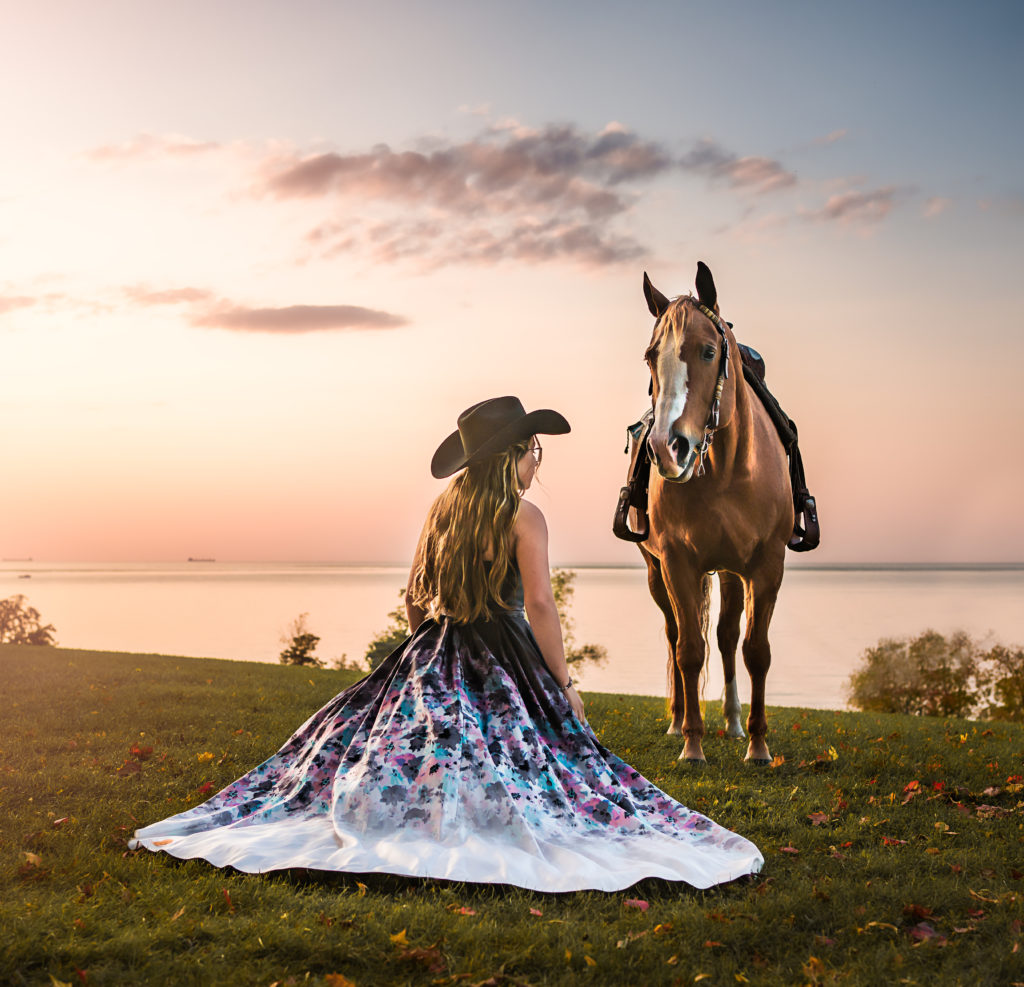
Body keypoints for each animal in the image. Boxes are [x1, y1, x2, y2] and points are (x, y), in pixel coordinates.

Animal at [634, 262, 794, 761]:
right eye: (651, 356)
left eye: (708, 352)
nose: (667, 448)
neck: (726, 470)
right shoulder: (676, 563)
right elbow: (688, 650)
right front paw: (692, 744)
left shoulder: (766, 565)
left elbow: (755, 650)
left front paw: (759, 747)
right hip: (656, 571)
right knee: (677, 636)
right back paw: (678, 721)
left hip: (729, 571)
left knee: (726, 637)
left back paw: (735, 723)